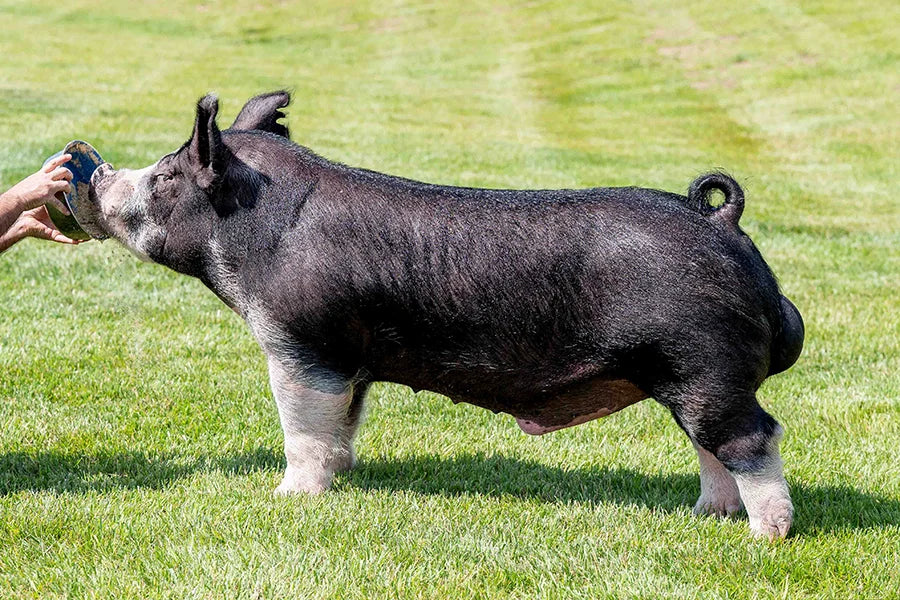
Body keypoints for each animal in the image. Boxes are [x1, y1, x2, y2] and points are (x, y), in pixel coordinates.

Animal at [83, 91, 804, 538]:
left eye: (167, 177)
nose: (97, 173)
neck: (259, 235)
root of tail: (721, 223)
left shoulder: (302, 343)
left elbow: (303, 429)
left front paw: (288, 497)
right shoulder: (354, 361)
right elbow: (343, 425)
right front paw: (342, 478)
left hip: (705, 364)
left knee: (754, 437)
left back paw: (766, 535)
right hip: (689, 377)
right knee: (711, 447)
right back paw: (707, 516)